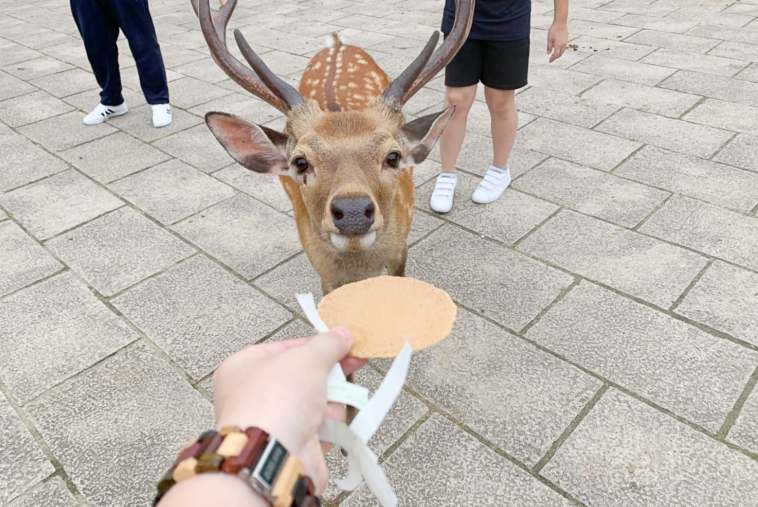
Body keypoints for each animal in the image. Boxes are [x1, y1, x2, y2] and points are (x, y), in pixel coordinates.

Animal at [191, 0, 474, 295]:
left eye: (393, 156)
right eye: (300, 162)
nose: (353, 212)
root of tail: (337, 42)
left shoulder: (401, 250)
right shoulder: (323, 270)